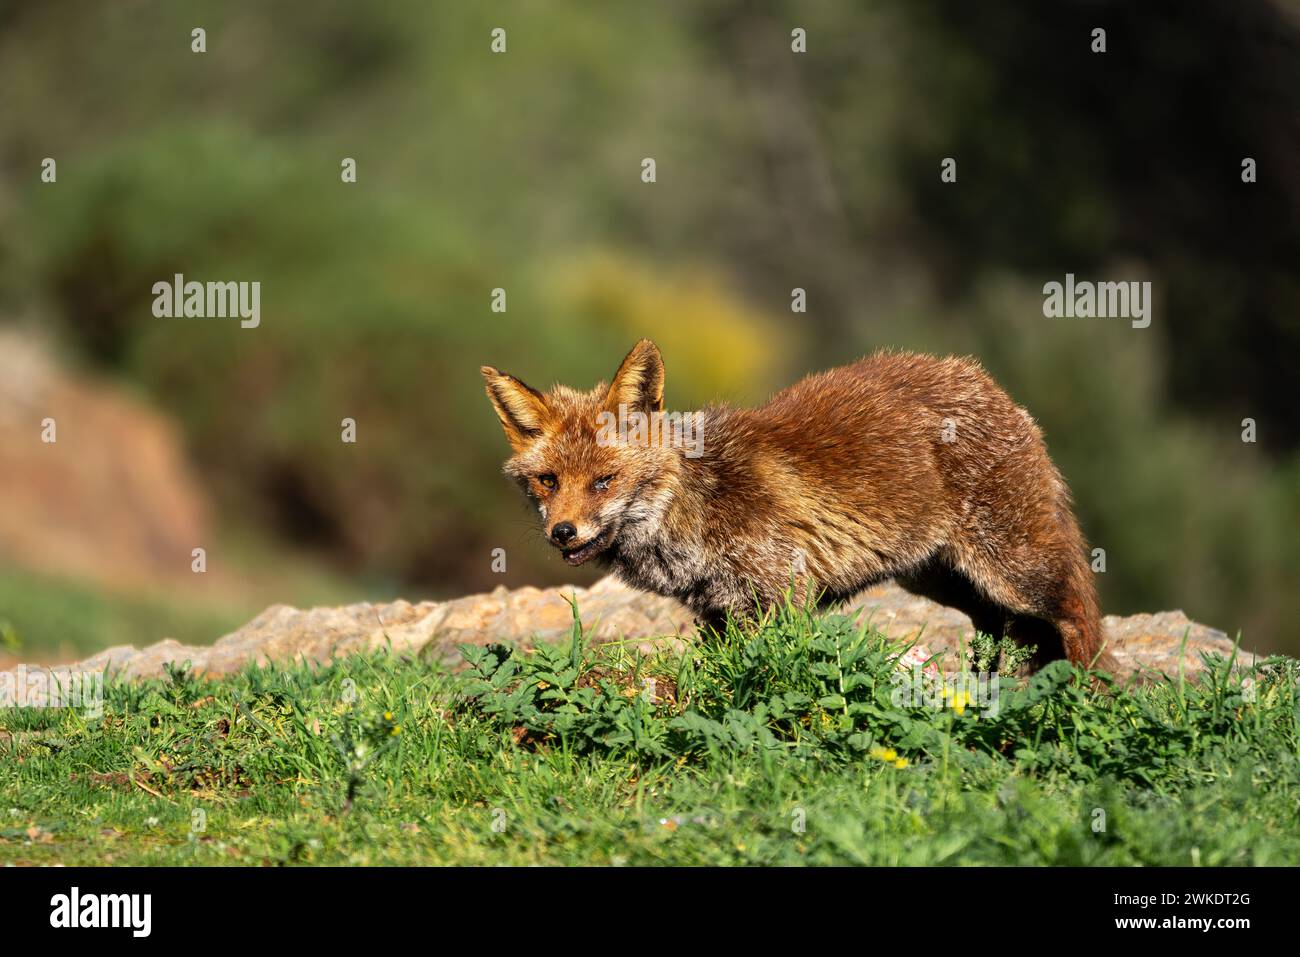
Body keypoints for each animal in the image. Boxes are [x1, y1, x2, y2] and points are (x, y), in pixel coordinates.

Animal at [483, 340, 1112, 670]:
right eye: (548, 481)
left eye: (604, 481)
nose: (563, 532)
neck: (692, 504)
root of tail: (986, 382)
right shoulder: (717, 610)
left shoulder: (781, 591)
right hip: (944, 580)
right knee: (1001, 637)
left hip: (1012, 570)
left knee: (1079, 618)